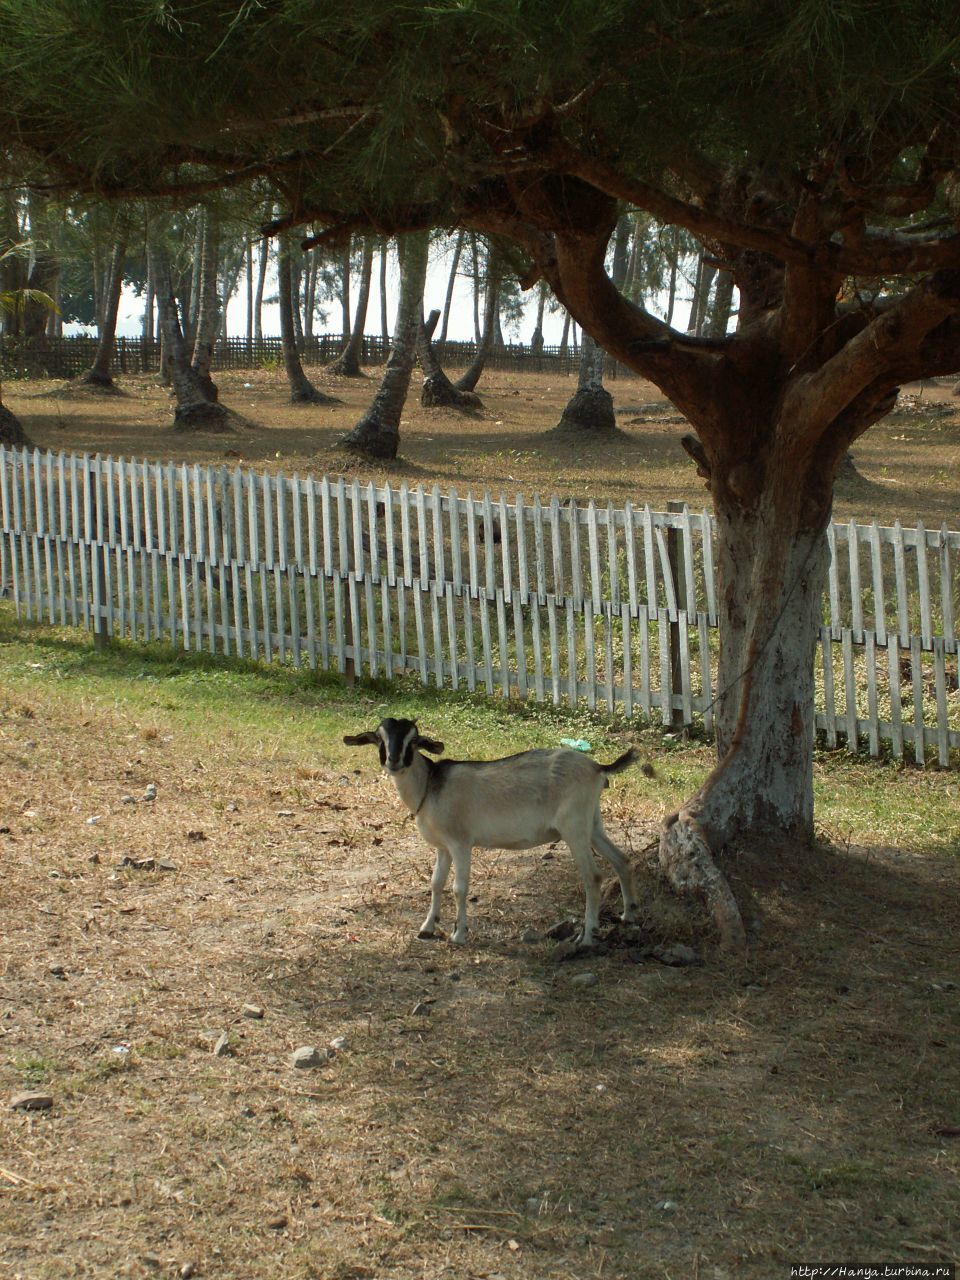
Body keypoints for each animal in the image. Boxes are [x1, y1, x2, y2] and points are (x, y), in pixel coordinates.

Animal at [343, 716, 642, 947]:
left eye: (414, 740)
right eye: (379, 738)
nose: (394, 761)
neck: (429, 785)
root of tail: (597, 768)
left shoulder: (461, 843)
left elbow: (459, 888)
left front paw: (458, 935)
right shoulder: (443, 847)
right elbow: (436, 883)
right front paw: (427, 927)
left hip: (574, 826)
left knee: (593, 876)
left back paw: (587, 936)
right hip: (592, 823)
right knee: (622, 859)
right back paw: (629, 914)